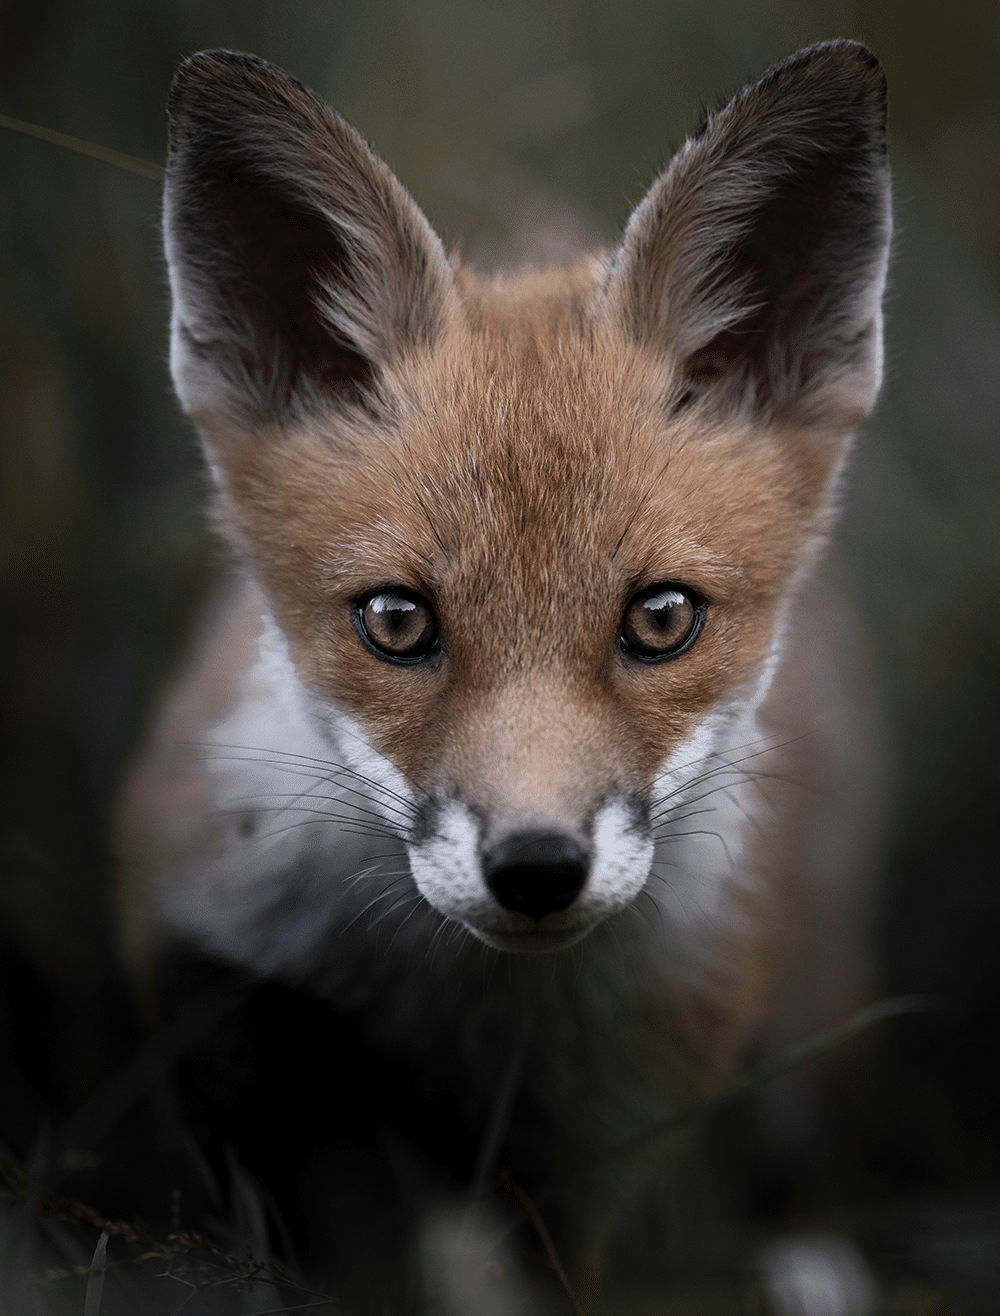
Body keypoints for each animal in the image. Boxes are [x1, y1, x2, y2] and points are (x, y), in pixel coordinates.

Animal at [117, 39, 891, 1308]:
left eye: (660, 618)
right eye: (396, 620)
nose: (536, 867)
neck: (464, 1013)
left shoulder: (597, 1133)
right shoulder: (221, 995)